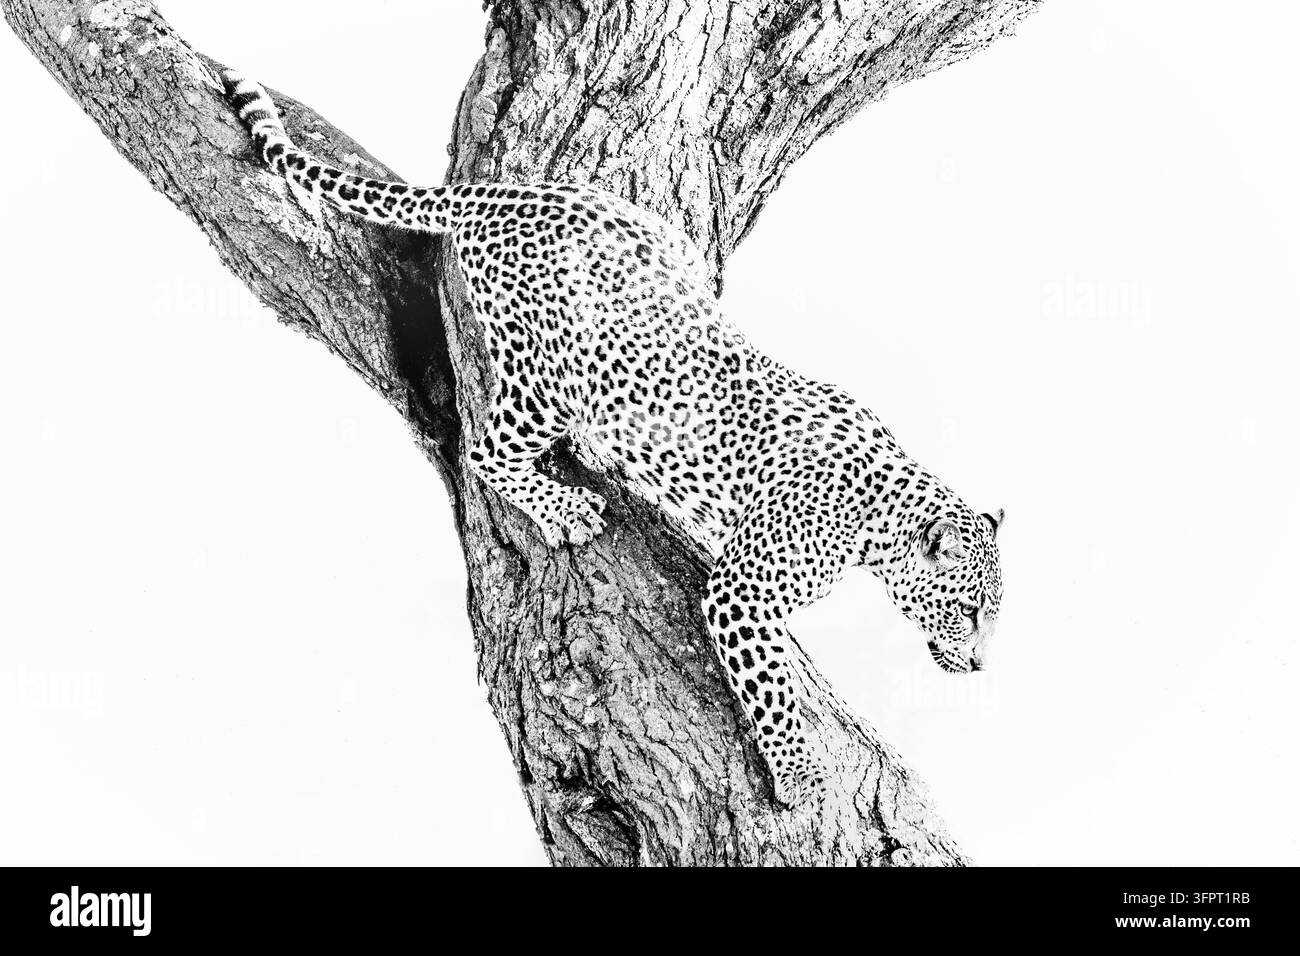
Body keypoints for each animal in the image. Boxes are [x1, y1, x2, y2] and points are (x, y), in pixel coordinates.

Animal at [222, 70, 1005, 809]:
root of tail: (502, 197)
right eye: (970, 612)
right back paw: (567, 510)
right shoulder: (740, 595)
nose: (980, 667)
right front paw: (801, 772)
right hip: (549, 380)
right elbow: (773, 693)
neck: (882, 512)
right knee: (485, 452)